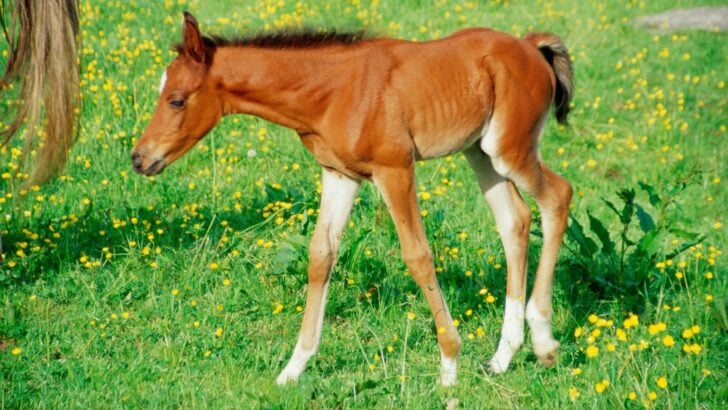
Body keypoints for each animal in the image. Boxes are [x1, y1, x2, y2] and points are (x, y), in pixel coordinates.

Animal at [132, 12, 573, 387]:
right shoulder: (339, 174)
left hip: (508, 149)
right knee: (514, 221)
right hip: (479, 152)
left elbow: (417, 255)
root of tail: (530, 46)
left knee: (558, 197)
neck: (331, 91)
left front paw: (449, 365)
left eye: (176, 99)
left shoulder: (395, 170)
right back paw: (502, 358)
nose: (140, 158)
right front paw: (292, 370)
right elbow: (320, 255)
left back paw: (544, 343)